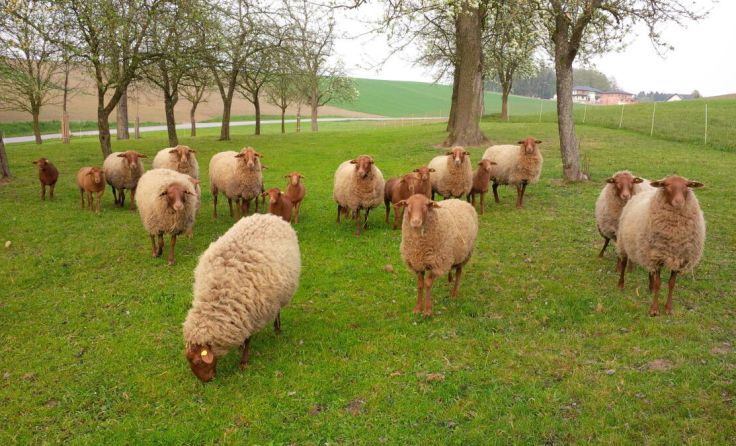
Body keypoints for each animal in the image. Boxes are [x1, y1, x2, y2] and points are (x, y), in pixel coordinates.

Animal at [182, 213, 301, 382]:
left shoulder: (252, 315)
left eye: (198, 361)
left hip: (279, 295)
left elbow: (248, 339)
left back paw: (277, 328)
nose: (206, 381)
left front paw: (244, 362)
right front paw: (240, 348)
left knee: (278, 311)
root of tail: (270, 216)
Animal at [616, 175, 705, 316]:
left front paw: (668, 308)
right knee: (624, 264)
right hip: (624, 243)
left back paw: (650, 288)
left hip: (646, 249)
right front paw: (654, 309)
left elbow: (671, 283)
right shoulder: (658, 257)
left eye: (687, 185)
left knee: (650, 270)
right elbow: (659, 283)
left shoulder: (677, 258)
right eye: (666, 185)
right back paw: (621, 284)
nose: (679, 201)